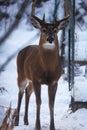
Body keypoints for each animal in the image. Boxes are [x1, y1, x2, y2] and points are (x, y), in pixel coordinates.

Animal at [14, 0, 70, 129]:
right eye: (43, 30)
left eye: (55, 30)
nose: (50, 38)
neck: (47, 69)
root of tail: (22, 50)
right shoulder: (36, 79)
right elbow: (39, 102)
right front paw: (37, 126)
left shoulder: (54, 81)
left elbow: (51, 104)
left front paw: (52, 127)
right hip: (21, 74)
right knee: (20, 92)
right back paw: (16, 121)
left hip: (29, 79)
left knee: (27, 91)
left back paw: (26, 121)